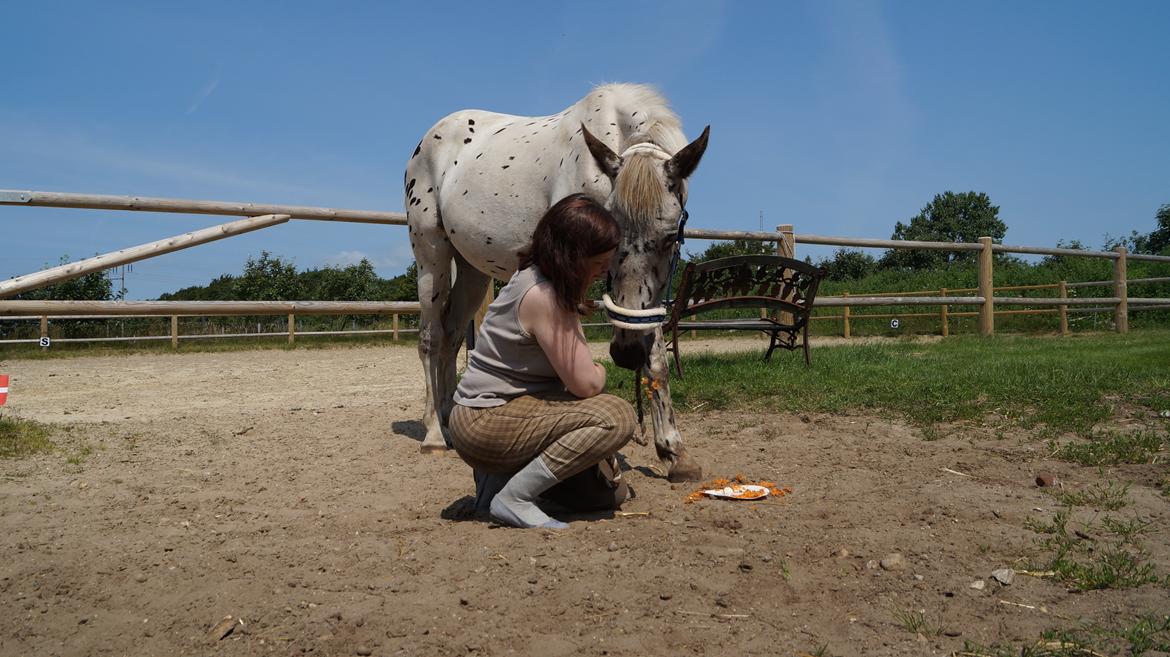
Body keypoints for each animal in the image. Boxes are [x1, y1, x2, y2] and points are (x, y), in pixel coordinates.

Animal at [407, 83, 706, 481]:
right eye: (613, 235)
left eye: (671, 237)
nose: (626, 354)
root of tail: (429, 138)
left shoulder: (646, 303)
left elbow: (656, 358)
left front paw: (673, 451)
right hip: (431, 257)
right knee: (431, 338)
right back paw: (434, 435)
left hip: (472, 271)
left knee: (452, 336)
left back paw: (447, 419)